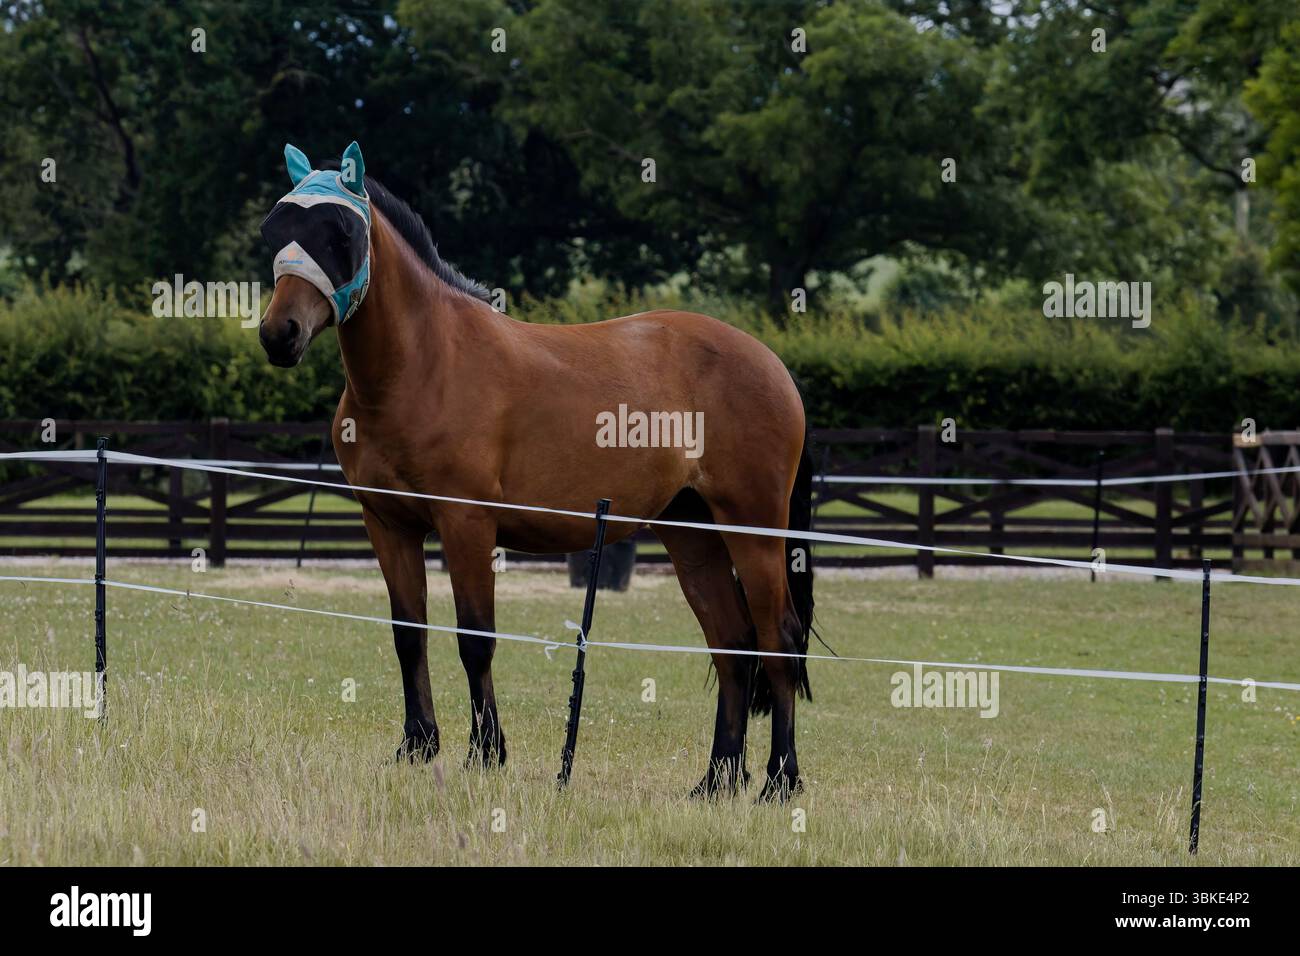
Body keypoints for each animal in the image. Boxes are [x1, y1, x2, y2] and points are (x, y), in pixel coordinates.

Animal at [257, 142, 816, 800]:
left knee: (778, 640)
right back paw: (717, 781)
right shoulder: (387, 525)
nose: (279, 334)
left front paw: (486, 752)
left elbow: (475, 638)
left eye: (340, 232)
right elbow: (408, 633)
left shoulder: (467, 524)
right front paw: (417, 746)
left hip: (753, 530)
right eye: (275, 229)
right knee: (732, 644)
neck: (422, 366)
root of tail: (773, 364)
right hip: (692, 534)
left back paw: (780, 780)